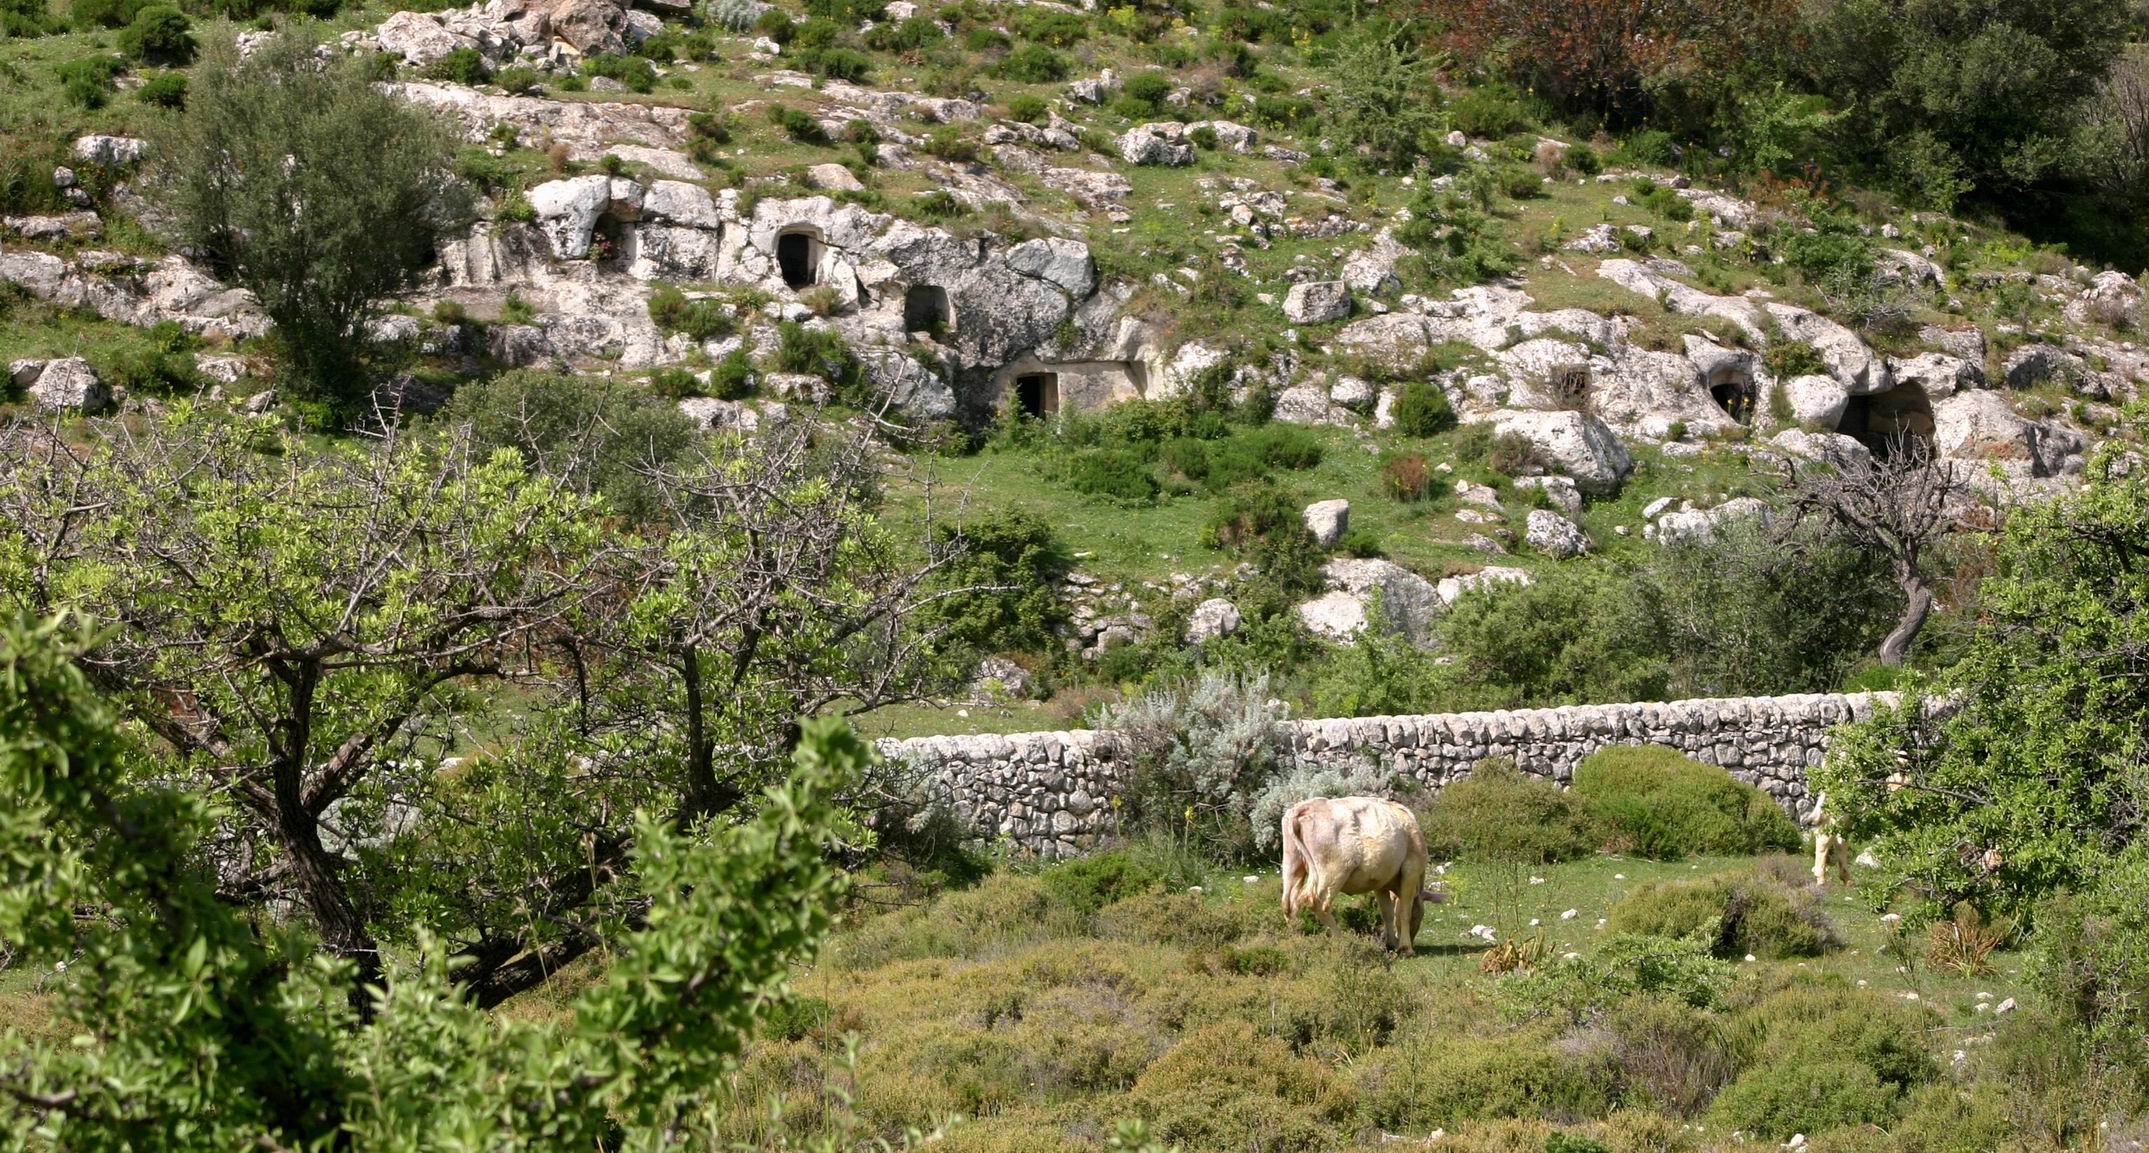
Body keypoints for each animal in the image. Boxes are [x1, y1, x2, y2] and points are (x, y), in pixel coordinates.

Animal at [1280, 790, 1435, 953]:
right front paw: (1406, 948)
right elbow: (1405, 911)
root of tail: (1304, 807)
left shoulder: (1381, 882)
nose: (1413, 939)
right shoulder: (1411, 870)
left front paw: (1391, 943)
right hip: (1332, 872)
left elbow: (1387, 913)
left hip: (1293, 863)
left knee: (1289, 903)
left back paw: (1296, 940)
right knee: (1317, 902)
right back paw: (1342, 941)